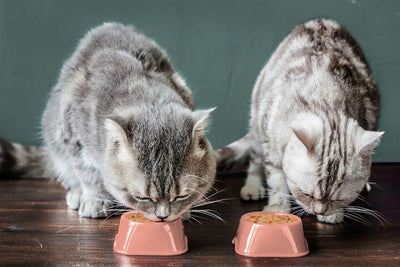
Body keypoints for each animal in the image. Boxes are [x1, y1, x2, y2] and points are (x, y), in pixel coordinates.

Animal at [0, 23, 216, 221]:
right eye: (141, 197)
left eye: (182, 196)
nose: (163, 216)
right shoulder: (74, 138)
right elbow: (88, 175)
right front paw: (96, 200)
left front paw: (184, 211)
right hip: (57, 146)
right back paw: (78, 194)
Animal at [217, 18, 382, 224]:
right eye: (306, 194)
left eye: (338, 199)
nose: (319, 211)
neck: (326, 96)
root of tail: (321, 20)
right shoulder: (271, 143)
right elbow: (276, 180)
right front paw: (277, 207)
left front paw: (334, 214)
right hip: (258, 120)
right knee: (255, 159)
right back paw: (253, 187)